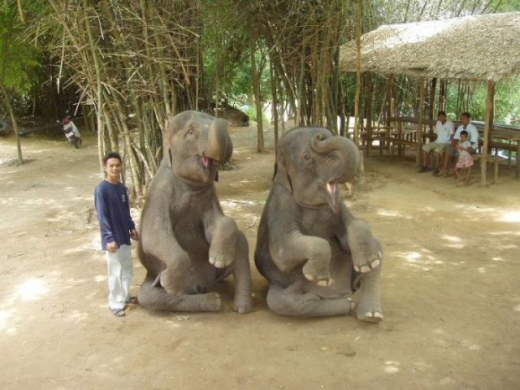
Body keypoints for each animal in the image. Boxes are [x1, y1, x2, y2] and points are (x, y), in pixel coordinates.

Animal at [137, 110, 253, 314]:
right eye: (190, 131)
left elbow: (218, 224)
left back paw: (239, 307)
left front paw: (218, 259)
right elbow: (153, 236)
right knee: (148, 297)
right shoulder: (158, 192)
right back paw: (211, 301)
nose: (223, 120)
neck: (189, 185)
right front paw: (169, 285)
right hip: (151, 277)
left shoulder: (209, 194)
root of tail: (202, 286)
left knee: (241, 241)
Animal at [254, 126, 384, 322]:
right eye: (307, 157)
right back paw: (340, 302)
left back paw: (370, 311)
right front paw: (319, 277)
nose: (319, 135)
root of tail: (341, 291)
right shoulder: (280, 204)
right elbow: (282, 253)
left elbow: (353, 228)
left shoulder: (337, 205)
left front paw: (368, 263)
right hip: (279, 285)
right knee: (281, 302)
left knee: (377, 247)